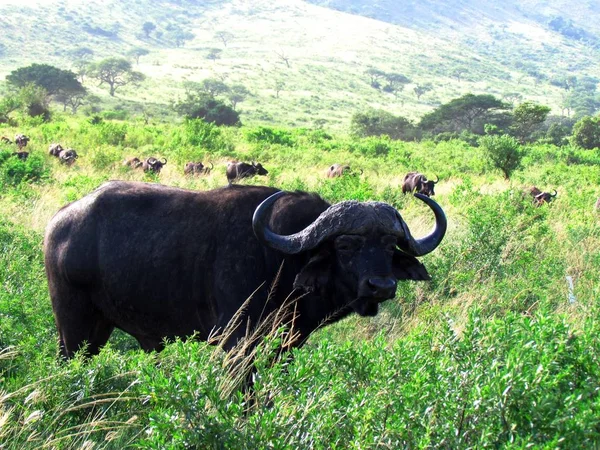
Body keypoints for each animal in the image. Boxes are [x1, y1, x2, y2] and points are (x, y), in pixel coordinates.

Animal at [44, 181, 446, 360]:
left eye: (390, 246)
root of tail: (59, 223)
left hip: (99, 329)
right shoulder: (236, 341)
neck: (281, 258)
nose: (382, 286)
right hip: (73, 328)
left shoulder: (288, 343)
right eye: (346, 246)